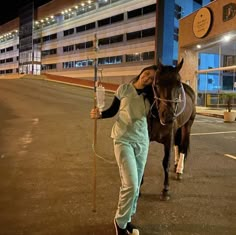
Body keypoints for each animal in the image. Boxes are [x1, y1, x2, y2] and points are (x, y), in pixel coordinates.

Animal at [148, 59, 195, 200]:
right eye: (157, 83)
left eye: (178, 84)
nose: (168, 116)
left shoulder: (169, 138)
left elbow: (166, 162)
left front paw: (166, 189)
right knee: (178, 145)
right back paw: (177, 164)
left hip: (187, 126)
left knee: (183, 146)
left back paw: (179, 170)